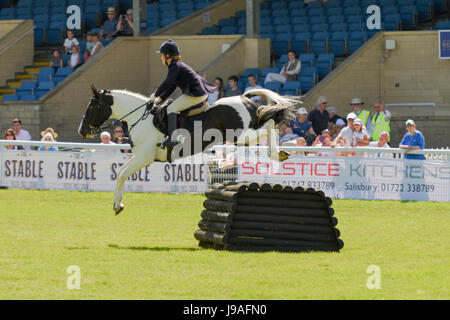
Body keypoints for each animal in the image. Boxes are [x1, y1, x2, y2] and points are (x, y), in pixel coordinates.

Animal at [78, 84, 300, 215]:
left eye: (92, 107)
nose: (82, 131)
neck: (139, 117)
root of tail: (244, 98)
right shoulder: (140, 156)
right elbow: (120, 173)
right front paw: (118, 204)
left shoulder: (144, 156)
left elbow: (123, 173)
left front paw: (118, 205)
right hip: (243, 138)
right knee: (269, 123)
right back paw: (279, 153)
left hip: (240, 135)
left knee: (271, 123)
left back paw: (277, 152)